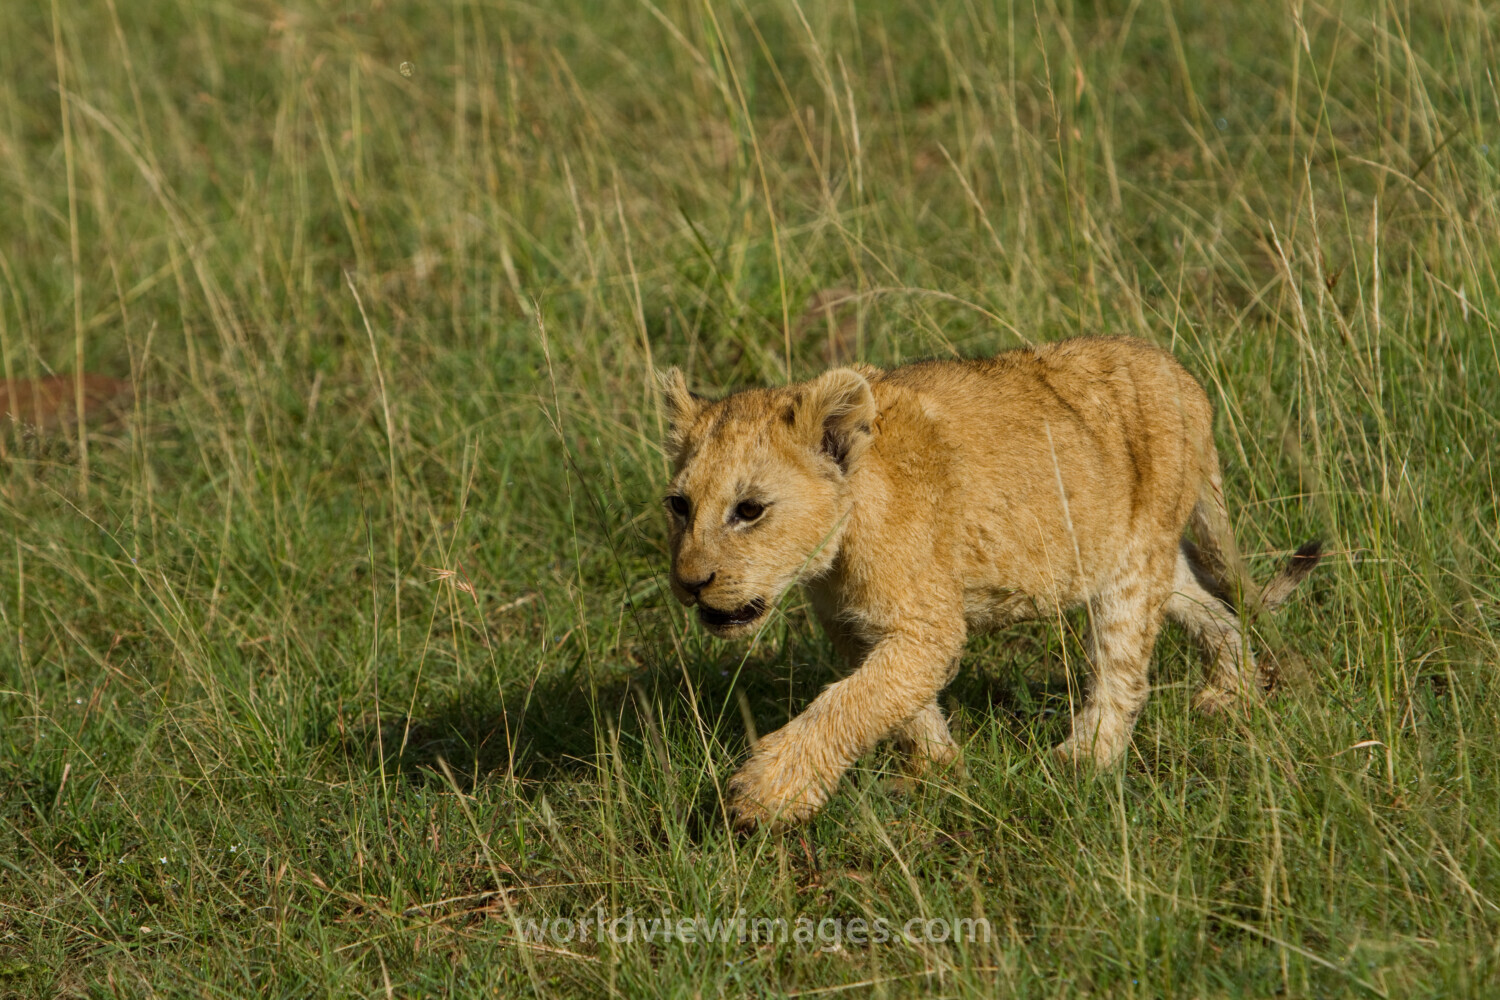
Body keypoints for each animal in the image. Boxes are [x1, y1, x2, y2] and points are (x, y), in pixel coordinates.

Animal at [657, 336, 1321, 830]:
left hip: (1134, 565)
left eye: (749, 510)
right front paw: (937, 771)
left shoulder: (928, 626)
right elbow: (894, 702)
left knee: (1125, 671)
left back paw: (1085, 761)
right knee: (1216, 611)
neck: (837, 546)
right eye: (678, 505)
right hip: (1134, 554)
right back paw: (1231, 692)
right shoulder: (857, 628)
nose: (690, 584)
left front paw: (766, 792)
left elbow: (850, 703)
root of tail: (1181, 376)